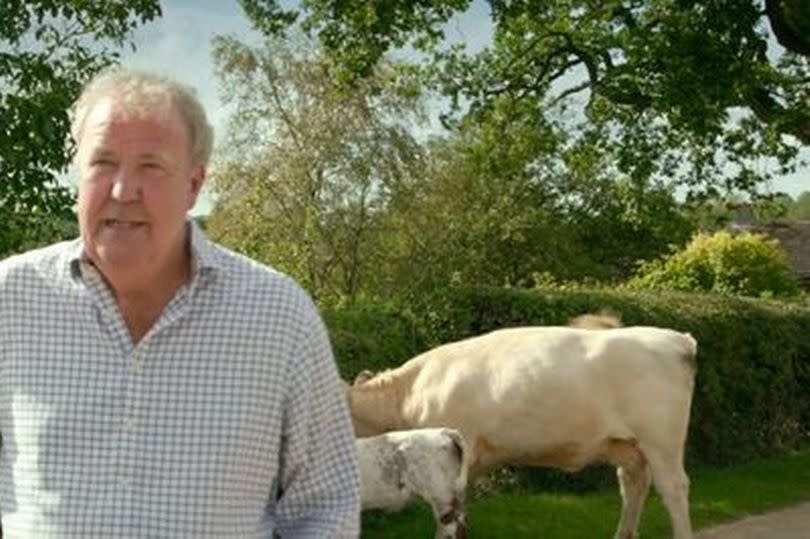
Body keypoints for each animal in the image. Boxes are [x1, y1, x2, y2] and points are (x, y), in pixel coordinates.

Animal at [348, 324, 696, 539]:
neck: (408, 392)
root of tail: (676, 339)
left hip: (661, 440)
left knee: (673, 488)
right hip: (626, 445)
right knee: (633, 483)